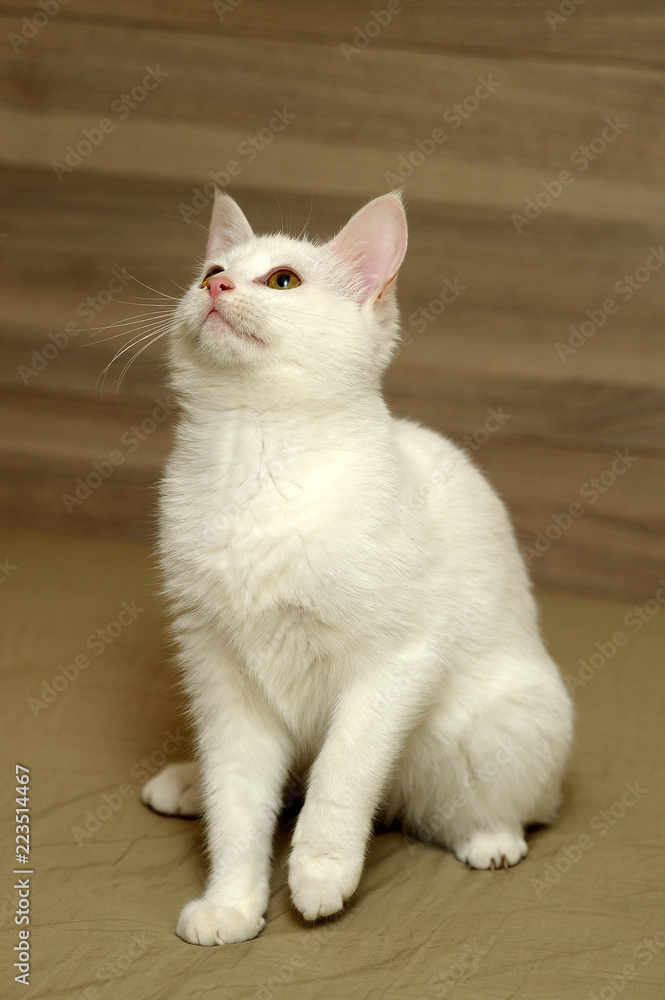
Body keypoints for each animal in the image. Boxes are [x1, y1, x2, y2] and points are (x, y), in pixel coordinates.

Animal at [143, 193, 572, 944]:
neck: (253, 450)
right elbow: (239, 803)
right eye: (211, 270)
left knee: (505, 803)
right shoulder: (223, 680)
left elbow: (340, 779)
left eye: (282, 281)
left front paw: (319, 873)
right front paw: (232, 902)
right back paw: (189, 784)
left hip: (499, 727)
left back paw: (490, 838)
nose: (216, 288)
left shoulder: (395, 662)